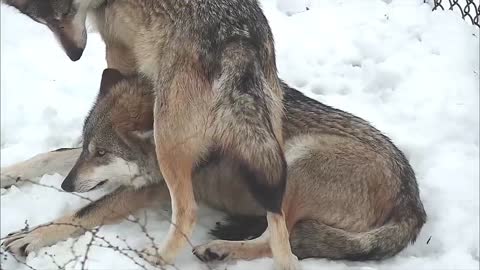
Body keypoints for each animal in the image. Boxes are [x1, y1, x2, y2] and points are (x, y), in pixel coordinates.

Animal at [0, 69, 428, 264]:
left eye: (103, 154)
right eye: (91, 150)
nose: (66, 186)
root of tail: (413, 199)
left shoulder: (149, 190)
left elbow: (81, 214)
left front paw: (29, 237)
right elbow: (50, 155)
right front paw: (8, 174)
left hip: (294, 163)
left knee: (279, 244)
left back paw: (218, 248)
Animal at [1, 0, 298, 266]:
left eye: (64, 14)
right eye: (45, 22)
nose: (65, 186)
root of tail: (237, 45)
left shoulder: (117, 43)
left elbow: (86, 210)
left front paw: (31, 237)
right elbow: (50, 156)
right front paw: (7, 174)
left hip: (168, 145)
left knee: (188, 212)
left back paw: (159, 256)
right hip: (270, 150)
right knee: (278, 223)